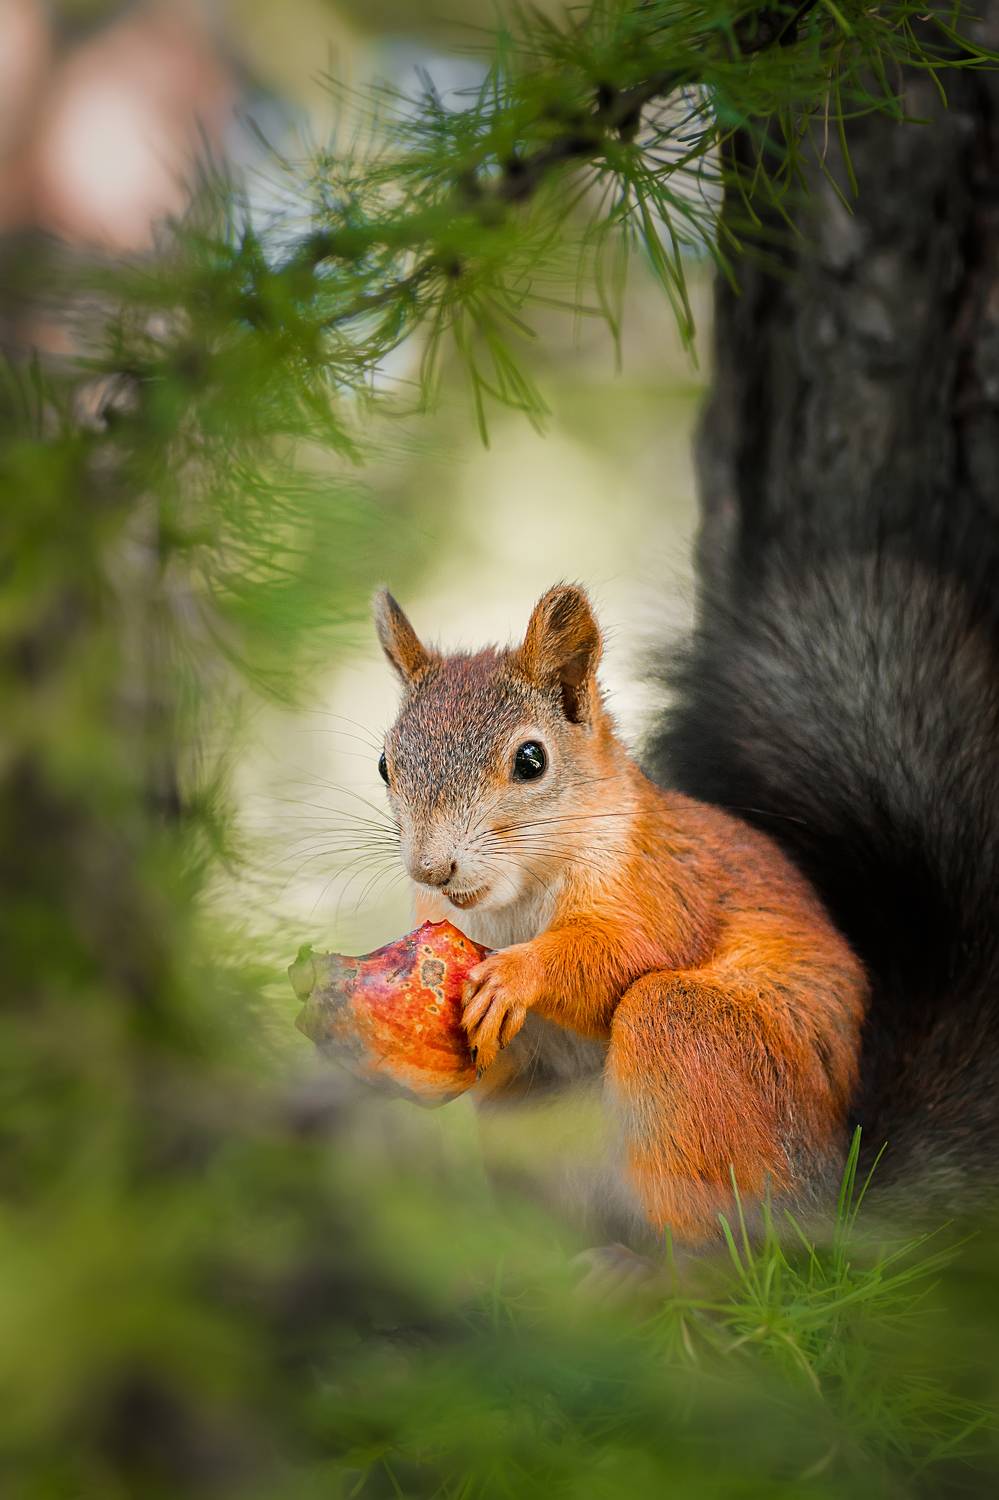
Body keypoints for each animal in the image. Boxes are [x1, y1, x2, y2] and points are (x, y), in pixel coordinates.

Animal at [373, 583, 869, 1246]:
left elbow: (627, 952)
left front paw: (516, 976)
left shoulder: (661, 886)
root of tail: (831, 1199)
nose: (432, 869)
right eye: (384, 765)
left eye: (531, 760)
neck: (511, 903)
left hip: (697, 1038)